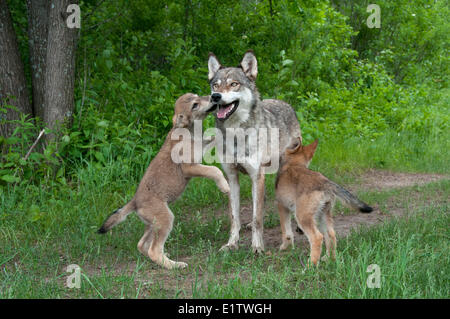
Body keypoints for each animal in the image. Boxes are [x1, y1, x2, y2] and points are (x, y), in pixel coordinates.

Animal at [99, 94, 232, 270]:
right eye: (195, 105)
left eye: (197, 96)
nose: (213, 96)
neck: (190, 132)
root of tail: (134, 202)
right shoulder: (189, 168)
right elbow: (214, 170)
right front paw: (225, 187)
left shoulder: (202, 147)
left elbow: (215, 138)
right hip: (166, 219)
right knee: (153, 250)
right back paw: (175, 265)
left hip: (153, 224)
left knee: (142, 245)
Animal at [207, 50, 302, 252]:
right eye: (215, 85)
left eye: (234, 84)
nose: (216, 96)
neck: (236, 134)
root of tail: (285, 103)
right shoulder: (232, 179)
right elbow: (235, 218)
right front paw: (231, 244)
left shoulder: (256, 175)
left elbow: (257, 218)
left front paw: (257, 247)